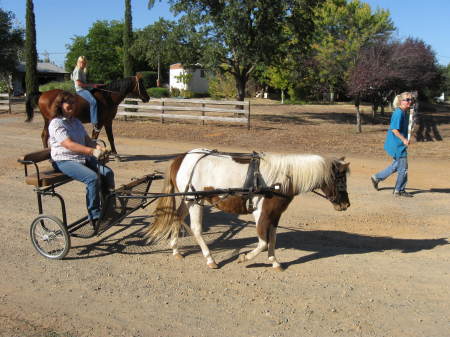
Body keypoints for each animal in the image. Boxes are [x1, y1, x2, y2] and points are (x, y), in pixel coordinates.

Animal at [146, 149, 350, 270]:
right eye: (340, 179)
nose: (346, 205)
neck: (280, 179)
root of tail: (183, 157)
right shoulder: (262, 213)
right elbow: (263, 242)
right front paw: (244, 257)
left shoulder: (275, 215)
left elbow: (272, 239)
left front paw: (274, 261)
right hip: (195, 201)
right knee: (195, 228)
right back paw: (210, 259)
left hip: (188, 200)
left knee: (176, 217)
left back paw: (175, 250)